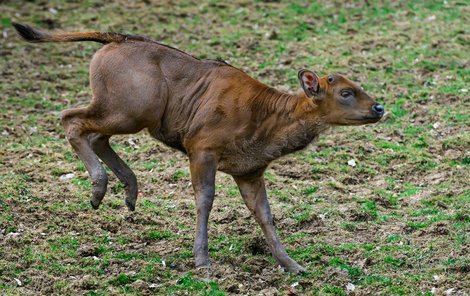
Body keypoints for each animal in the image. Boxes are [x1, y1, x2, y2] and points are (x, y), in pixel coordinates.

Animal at [13, 22, 386, 272]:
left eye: (358, 85)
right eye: (345, 92)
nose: (379, 107)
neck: (265, 124)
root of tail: (114, 39)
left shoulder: (249, 170)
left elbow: (265, 213)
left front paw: (292, 264)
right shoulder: (201, 147)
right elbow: (205, 200)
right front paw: (202, 259)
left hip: (127, 111)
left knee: (95, 134)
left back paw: (129, 192)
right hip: (130, 107)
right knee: (71, 118)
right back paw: (98, 188)